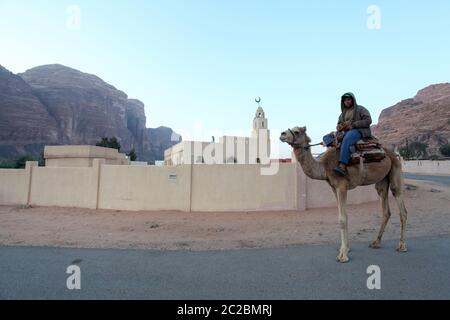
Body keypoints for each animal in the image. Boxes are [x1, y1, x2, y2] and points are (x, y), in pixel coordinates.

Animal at [280, 126, 406, 264]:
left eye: (296, 131)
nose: (282, 134)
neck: (325, 167)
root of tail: (393, 154)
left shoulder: (342, 186)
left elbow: (342, 218)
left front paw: (343, 255)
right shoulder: (334, 188)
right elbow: (343, 216)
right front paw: (344, 249)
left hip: (395, 171)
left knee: (401, 205)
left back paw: (401, 246)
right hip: (382, 180)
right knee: (385, 209)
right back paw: (376, 242)